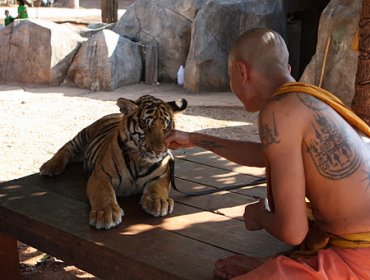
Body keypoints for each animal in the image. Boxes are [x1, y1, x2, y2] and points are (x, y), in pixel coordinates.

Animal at [39, 94, 188, 230]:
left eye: (167, 127)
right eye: (145, 125)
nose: (159, 151)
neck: (140, 161)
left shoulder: (163, 174)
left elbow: (158, 187)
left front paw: (159, 202)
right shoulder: (101, 174)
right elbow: (104, 193)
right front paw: (106, 214)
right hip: (83, 135)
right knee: (67, 148)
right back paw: (50, 166)